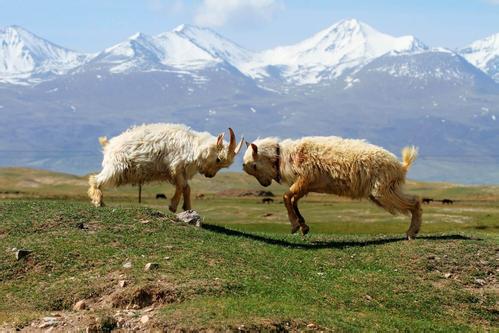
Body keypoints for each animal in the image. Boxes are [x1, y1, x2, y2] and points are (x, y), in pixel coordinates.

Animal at [90, 122, 246, 210]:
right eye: (218, 159)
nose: (210, 175)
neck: (194, 145)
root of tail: (109, 145)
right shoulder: (176, 167)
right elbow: (182, 186)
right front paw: (173, 206)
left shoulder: (181, 171)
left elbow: (187, 188)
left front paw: (187, 208)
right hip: (116, 167)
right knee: (96, 179)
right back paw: (98, 201)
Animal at [244, 136, 424, 239]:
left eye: (254, 165)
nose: (264, 185)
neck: (282, 156)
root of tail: (401, 166)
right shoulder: (306, 185)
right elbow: (294, 200)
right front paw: (303, 226)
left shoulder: (305, 178)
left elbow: (286, 197)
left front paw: (295, 226)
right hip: (382, 192)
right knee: (413, 201)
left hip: (383, 191)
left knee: (415, 201)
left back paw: (411, 232)